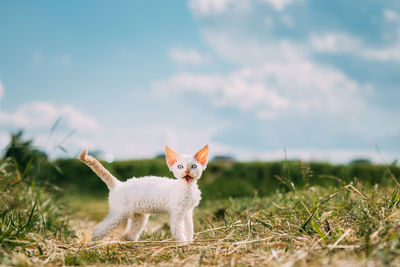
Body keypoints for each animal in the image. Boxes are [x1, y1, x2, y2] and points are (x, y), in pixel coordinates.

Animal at [79, 146, 209, 244]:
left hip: (139, 217)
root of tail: (118, 184)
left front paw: (190, 242)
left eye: (194, 166)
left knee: (128, 235)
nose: (187, 171)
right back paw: (94, 246)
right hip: (119, 215)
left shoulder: (188, 212)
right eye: (180, 166)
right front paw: (183, 244)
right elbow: (178, 230)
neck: (187, 188)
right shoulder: (177, 213)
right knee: (98, 230)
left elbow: (189, 228)